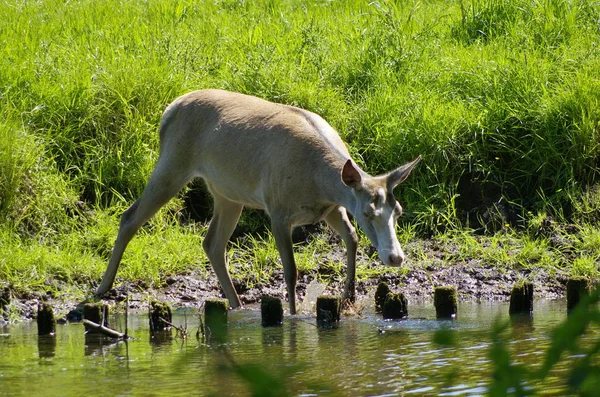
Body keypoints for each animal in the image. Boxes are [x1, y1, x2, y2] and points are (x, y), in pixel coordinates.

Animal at [95, 89, 422, 312]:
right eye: (368, 212)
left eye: (398, 211)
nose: (395, 257)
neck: (318, 183)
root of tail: (168, 111)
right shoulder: (277, 209)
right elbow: (290, 270)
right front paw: (292, 314)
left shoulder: (332, 208)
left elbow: (351, 238)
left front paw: (349, 298)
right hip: (173, 162)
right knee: (130, 216)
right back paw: (102, 287)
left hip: (226, 192)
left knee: (212, 242)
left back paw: (237, 304)